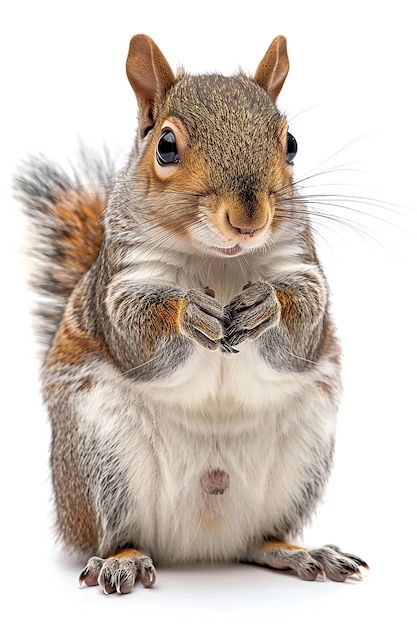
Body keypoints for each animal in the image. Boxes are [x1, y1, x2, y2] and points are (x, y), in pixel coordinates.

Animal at [15, 33, 368, 588]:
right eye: (165, 145)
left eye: (291, 144)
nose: (248, 218)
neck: (219, 261)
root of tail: (201, 544)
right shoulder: (118, 287)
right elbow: (137, 335)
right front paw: (189, 313)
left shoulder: (303, 266)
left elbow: (304, 329)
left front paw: (266, 304)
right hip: (104, 458)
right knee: (118, 533)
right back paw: (122, 560)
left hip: (302, 458)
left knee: (259, 540)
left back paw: (300, 552)